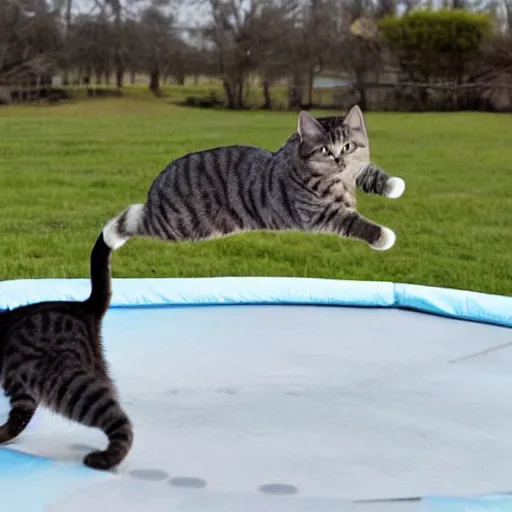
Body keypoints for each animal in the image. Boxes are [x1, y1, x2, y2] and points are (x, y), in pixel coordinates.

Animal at [102, 105, 406, 252]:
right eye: (324, 149)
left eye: (348, 146)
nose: (339, 160)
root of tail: (156, 189)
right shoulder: (319, 215)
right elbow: (354, 221)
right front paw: (384, 236)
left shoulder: (355, 170)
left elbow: (369, 171)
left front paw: (394, 184)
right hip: (177, 225)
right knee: (134, 219)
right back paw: (112, 234)